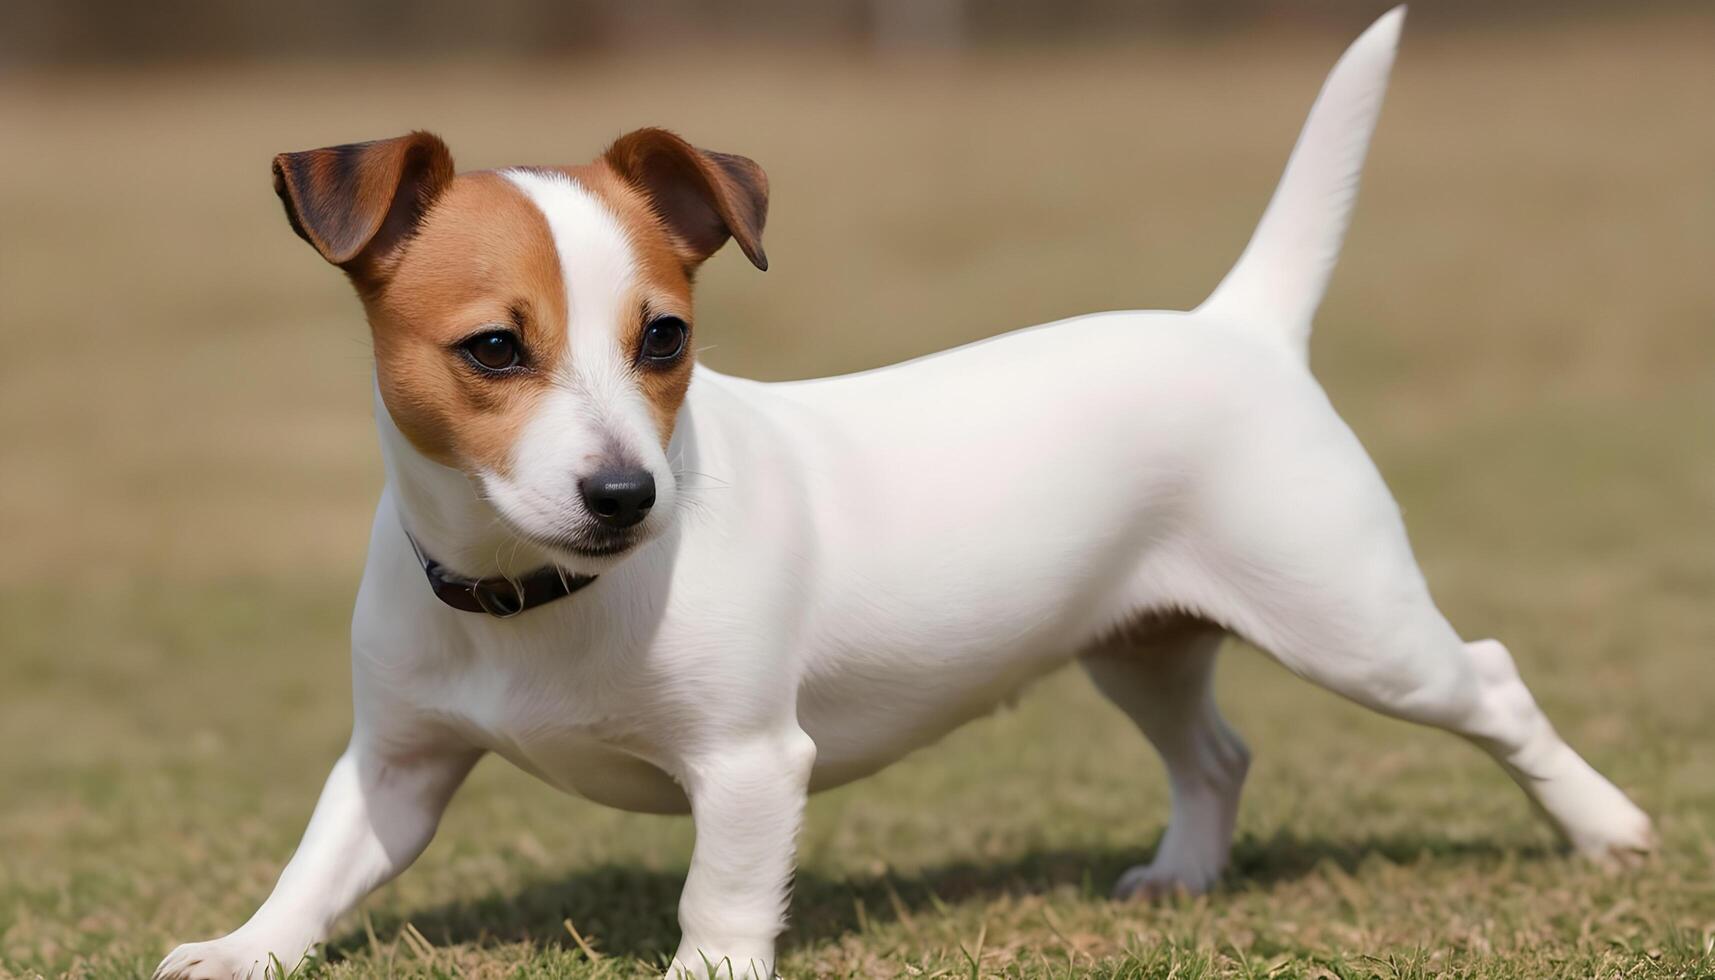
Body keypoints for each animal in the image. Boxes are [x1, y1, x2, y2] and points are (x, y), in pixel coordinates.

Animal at [154, 9, 1653, 980]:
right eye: (490, 350)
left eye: (664, 338)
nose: (626, 494)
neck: (536, 595)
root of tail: (1237, 326)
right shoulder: (395, 766)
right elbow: (319, 862)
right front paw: (240, 945)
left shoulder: (751, 765)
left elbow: (721, 901)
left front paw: (703, 969)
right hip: (1139, 643)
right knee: (1215, 753)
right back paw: (1183, 872)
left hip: (1351, 623)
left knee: (1488, 678)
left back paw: (1605, 831)